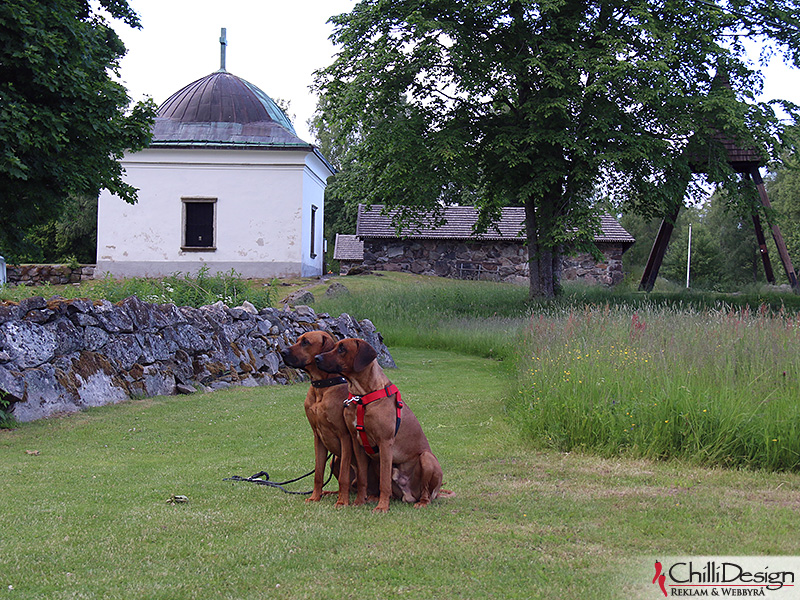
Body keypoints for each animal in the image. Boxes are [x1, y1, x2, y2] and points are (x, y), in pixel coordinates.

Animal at [282, 332, 354, 506]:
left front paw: (342, 502)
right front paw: (315, 497)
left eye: (306, 342)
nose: (282, 352)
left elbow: (344, 476)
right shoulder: (318, 437)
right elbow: (318, 473)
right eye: (297, 340)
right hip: (333, 460)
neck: (321, 387)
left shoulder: (345, 437)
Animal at [314, 338, 444, 510]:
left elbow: (384, 482)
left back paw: (422, 502)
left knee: (426, 492)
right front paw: (359, 502)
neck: (362, 397)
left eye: (342, 349)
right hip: (376, 462)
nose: (316, 358)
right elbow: (362, 478)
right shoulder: (357, 444)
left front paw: (382, 507)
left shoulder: (385, 443)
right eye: (334, 346)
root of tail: (410, 494)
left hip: (426, 458)